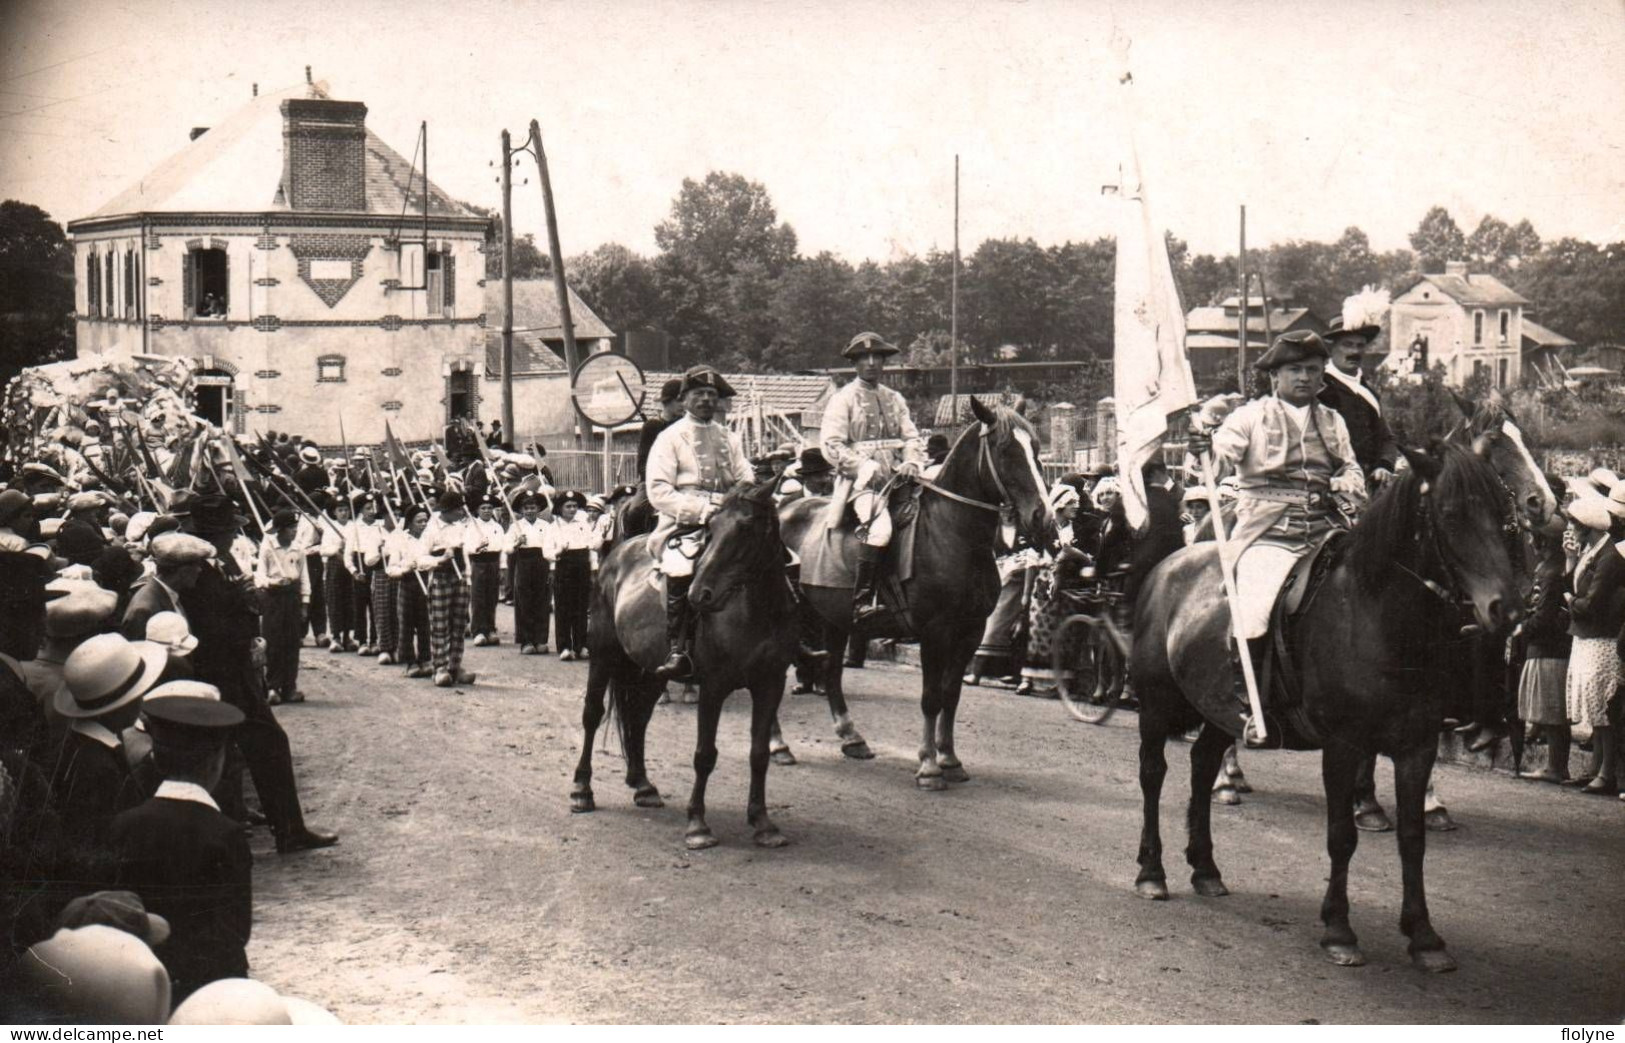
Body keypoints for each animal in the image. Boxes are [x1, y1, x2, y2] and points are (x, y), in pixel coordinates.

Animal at [572, 474, 799, 851]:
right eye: (711, 527)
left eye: (746, 527)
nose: (698, 595)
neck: (756, 611)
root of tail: (616, 553)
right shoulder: (713, 686)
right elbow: (704, 754)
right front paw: (698, 825)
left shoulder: (771, 683)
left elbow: (759, 754)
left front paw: (763, 823)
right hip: (603, 654)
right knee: (592, 714)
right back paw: (581, 789)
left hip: (651, 672)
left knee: (638, 718)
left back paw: (642, 785)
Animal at [780, 398, 1059, 786]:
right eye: (1006, 450)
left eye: (1034, 448)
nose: (1043, 519)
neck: (952, 535)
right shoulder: (934, 632)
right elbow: (930, 697)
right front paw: (928, 766)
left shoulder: (970, 632)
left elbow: (951, 695)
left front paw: (950, 759)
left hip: (831, 619)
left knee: (831, 671)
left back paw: (852, 738)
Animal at [1131, 438, 1521, 968]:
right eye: (1450, 513)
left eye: (1504, 514)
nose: (1508, 609)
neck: (1378, 617)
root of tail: (1170, 563)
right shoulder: (1344, 745)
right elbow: (1342, 835)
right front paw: (1339, 928)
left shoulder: (1417, 746)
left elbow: (1412, 838)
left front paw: (1423, 935)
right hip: (1154, 705)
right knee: (1153, 775)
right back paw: (1152, 872)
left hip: (1219, 710)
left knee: (1202, 764)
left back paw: (1206, 868)